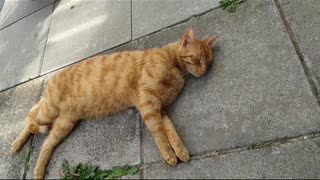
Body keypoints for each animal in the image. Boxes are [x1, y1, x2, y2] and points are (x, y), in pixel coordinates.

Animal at [10, 28, 220, 179]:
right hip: (50, 111)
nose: (203, 71)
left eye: (208, 62)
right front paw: (168, 154)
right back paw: (16, 145)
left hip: (64, 123)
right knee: (29, 120)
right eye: (196, 59)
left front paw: (181, 151)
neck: (174, 66)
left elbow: (172, 132)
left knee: (46, 143)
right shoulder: (149, 105)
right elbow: (160, 134)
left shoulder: (161, 110)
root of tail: (52, 78)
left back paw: (37, 171)